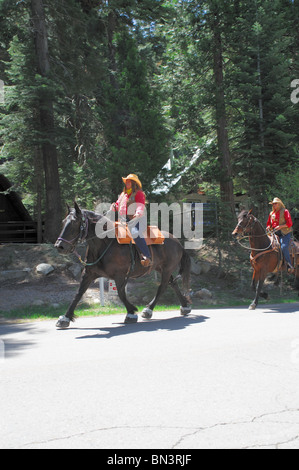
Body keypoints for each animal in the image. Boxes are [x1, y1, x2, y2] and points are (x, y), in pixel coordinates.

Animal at [54, 201, 192, 326]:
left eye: (75, 223)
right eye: (63, 222)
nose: (59, 246)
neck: (105, 243)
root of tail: (177, 242)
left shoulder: (119, 275)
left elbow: (121, 293)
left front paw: (131, 312)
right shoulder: (88, 274)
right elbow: (78, 294)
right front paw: (65, 318)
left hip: (167, 269)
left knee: (162, 287)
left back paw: (149, 309)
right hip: (161, 268)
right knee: (173, 284)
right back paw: (184, 306)